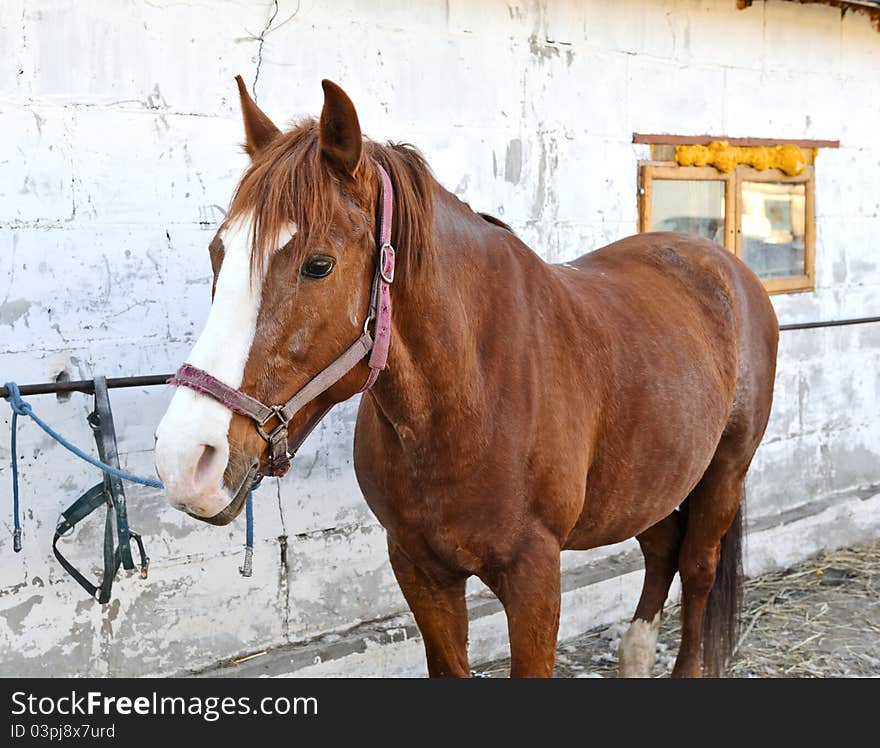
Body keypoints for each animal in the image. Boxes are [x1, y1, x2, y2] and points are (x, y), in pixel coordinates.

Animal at [153, 77, 776, 676]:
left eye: (319, 264)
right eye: (218, 252)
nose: (185, 461)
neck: (470, 395)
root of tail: (725, 265)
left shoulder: (534, 577)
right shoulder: (419, 569)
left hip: (723, 472)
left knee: (696, 568)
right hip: (651, 479)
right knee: (662, 551)